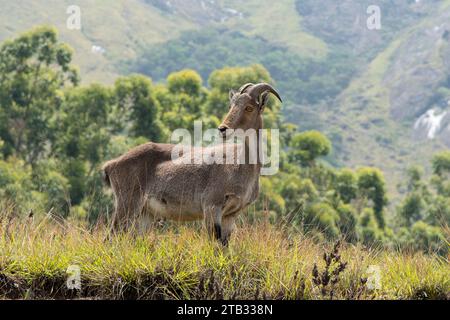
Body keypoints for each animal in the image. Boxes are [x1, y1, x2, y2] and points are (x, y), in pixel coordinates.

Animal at [103, 83, 284, 245]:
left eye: (249, 107)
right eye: (232, 105)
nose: (223, 128)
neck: (239, 166)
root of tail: (111, 165)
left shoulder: (230, 214)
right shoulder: (212, 206)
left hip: (145, 213)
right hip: (127, 204)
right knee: (110, 237)